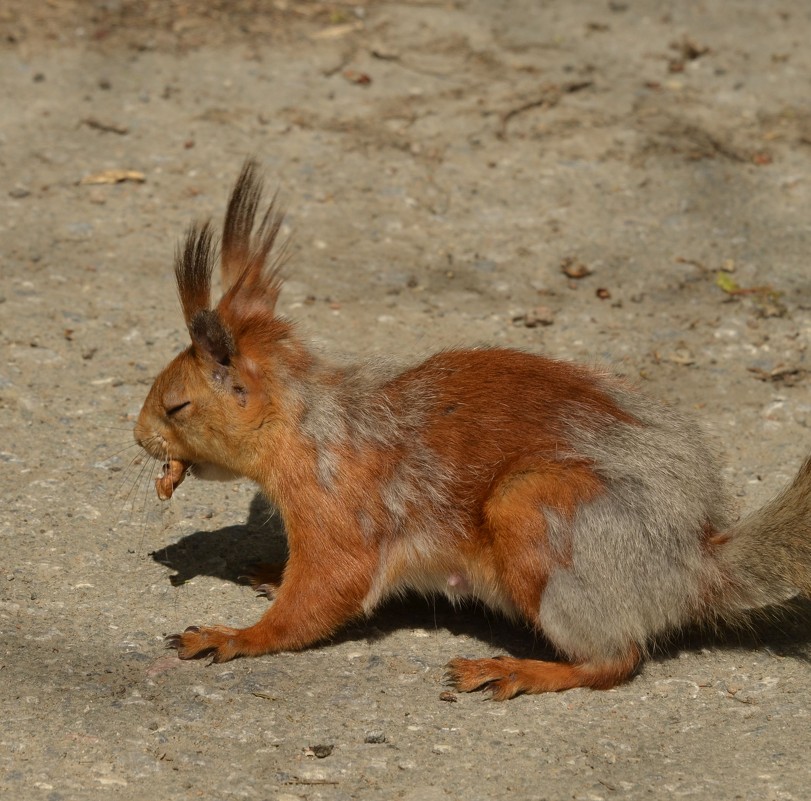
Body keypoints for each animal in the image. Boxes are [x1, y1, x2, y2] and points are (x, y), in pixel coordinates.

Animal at [136, 159, 811, 696]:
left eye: (177, 406)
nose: (140, 438)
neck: (307, 422)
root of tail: (688, 565)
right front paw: (270, 572)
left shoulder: (338, 504)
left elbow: (325, 591)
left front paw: (235, 636)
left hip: (538, 512)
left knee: (616, 659)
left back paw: (519, 670)